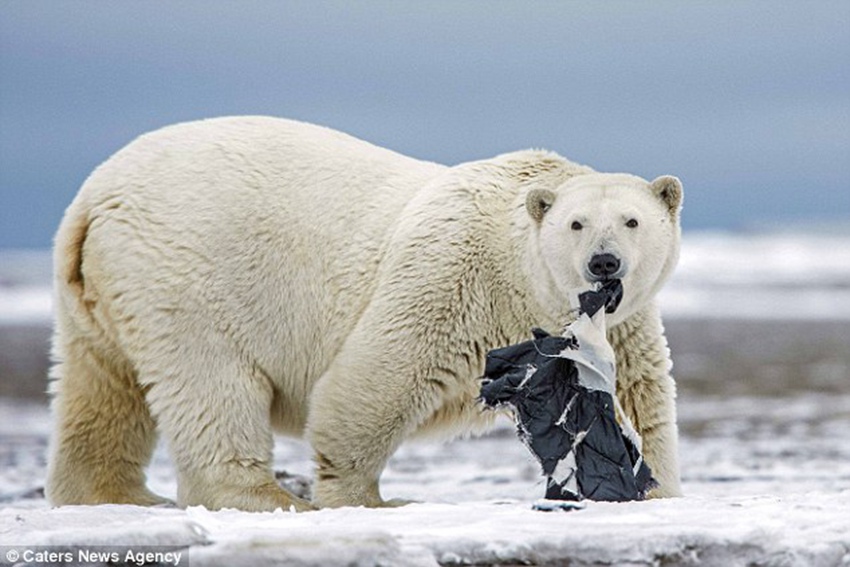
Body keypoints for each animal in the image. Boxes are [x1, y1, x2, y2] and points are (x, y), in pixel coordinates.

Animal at [46, 115, 684, 510]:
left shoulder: (624, 325)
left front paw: (649, 487)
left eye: (632, 220)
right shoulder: (454, 274)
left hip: (96, 296)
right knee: (214, 385)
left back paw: (113, 493)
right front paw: (372, 498)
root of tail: (94, 198)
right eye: (576, 224)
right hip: (190, 276)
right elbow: (379, 375)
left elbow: (638, 399)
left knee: (102, 388)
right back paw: (275, 499)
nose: (604, 263)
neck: (520, 274)